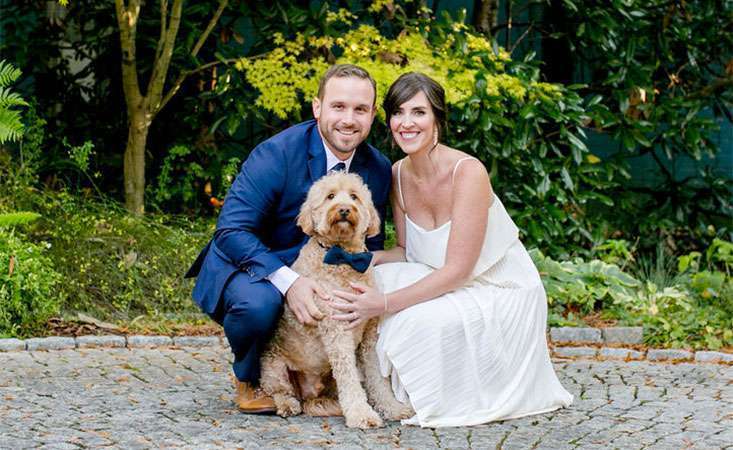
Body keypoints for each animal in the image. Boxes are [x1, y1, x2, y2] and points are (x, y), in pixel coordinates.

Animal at [260, 171, 412, 428]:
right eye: (330, 196)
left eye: (354, 196)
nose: (343, 209)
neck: (344, 258)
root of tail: (308, 393)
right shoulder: (337, 331)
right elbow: (349, 377)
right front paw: (362, 414)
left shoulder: (369, 335)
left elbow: (377, 377)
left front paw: (392, 408)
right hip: (274, 367)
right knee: (278, 391)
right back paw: (287, 404)